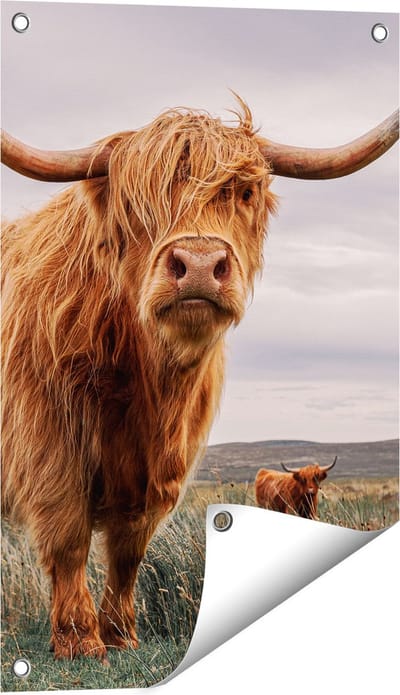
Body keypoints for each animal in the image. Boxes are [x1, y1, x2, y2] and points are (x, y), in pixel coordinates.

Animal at [1, 100, 398, 662]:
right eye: (135, 202)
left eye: (245, 192)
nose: (200, 265)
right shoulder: (47, 443)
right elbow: (68, 534)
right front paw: (80, 640)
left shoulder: (163, 464)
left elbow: (130, 548)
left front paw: (121, 634)